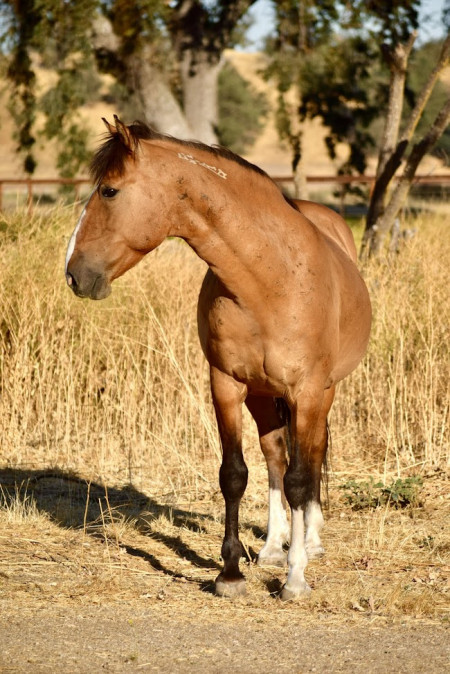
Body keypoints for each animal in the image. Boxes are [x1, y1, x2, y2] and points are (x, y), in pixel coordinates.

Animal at [66, 115, 370, 600]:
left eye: (109, 191)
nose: (74, 273)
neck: (270, 278)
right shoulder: (226, 384)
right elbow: (235, 474)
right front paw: (230, 572)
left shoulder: (307, 391)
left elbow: (302, 478)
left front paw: (295, 578)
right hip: (263, 396)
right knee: (275, 456)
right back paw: (272, 546)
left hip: (323, 395)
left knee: (311, 458)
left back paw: (309, 542)